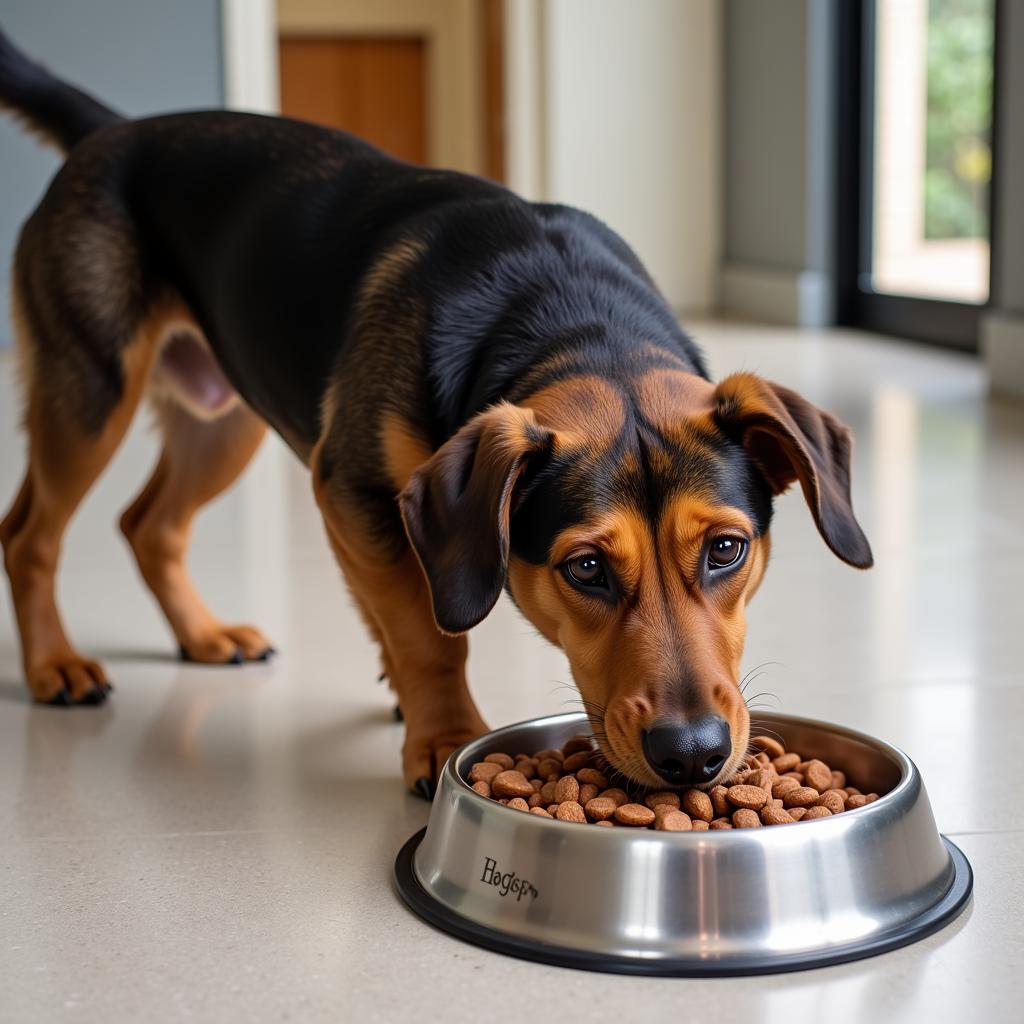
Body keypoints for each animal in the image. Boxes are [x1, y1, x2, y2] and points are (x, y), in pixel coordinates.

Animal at [0, 32, 872, 794]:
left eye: (727, 550)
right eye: (586, 568)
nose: (692, 753)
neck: (574, 322)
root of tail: (114, 132)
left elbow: (406, 609)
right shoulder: (351, 491)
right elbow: (428, 633)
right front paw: (443, 736)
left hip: (224, 420)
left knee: (150, 525)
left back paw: (202, 635)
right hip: (91, 391)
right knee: (29, 534)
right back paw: (54, 666)